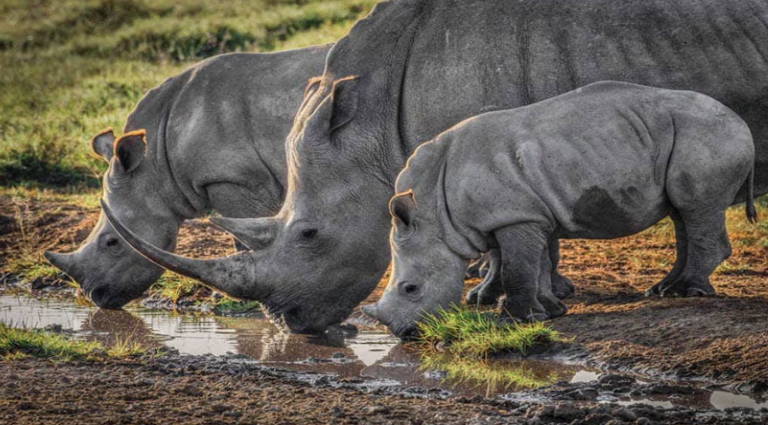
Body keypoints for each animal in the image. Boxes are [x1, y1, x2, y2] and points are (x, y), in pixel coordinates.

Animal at [363, 81, 756, 338]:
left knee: (697, 208)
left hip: (708, 135)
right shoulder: (531, 215)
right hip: (690, 136)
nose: (405, 334)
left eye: (411, 289)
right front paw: (550, 311)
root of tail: (742, 122)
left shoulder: (517, 217)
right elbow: (537, 264)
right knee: (682, 214)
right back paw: (663, 290)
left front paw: (514, 319)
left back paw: (688, 292)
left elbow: (519, 268)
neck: (434, 214)